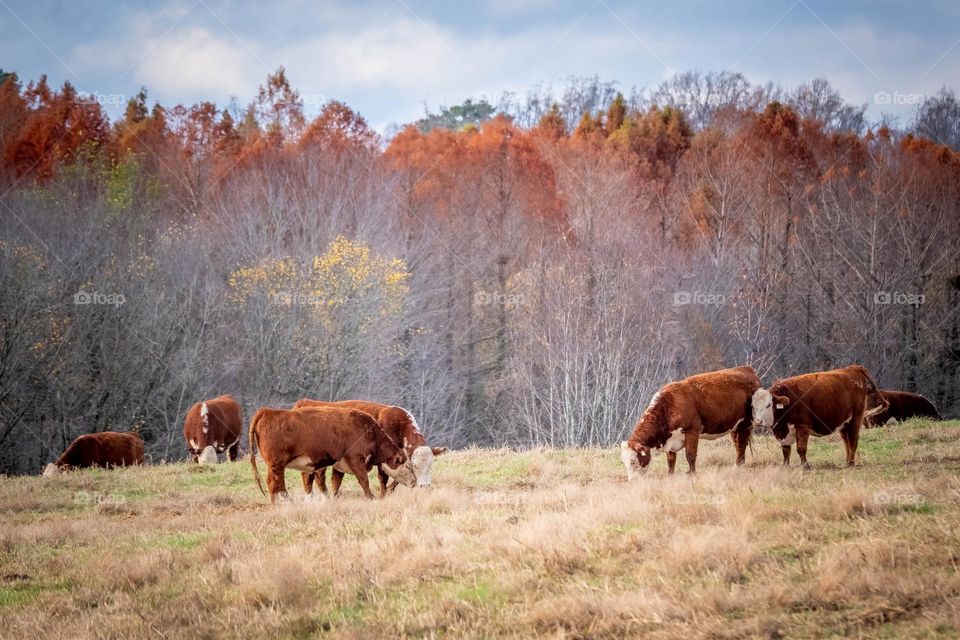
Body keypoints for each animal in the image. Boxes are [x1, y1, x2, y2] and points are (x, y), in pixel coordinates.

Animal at [248, 406, 416, 503]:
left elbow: (336, 481)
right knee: (274, 483)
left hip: (274, 465)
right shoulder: (356, 459)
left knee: (276, 483)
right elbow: (364, 481)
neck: (369, 431)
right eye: (408, 466)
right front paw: (370, 498)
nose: (414, 482)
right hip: (276, 464)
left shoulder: (340, 463)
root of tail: (267, 411)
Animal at [292, 399, 446, 494]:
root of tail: (303, 403)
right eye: (415, 465)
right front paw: (383, 495)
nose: (425, 486)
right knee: (313, 477)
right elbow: (383, 480)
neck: (398, 426)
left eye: (431, 464)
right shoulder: (384, 460)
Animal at [620, 365, 774, 478]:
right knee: (738, 444)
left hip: (746, 423)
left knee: (741, 445)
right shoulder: (670, 438)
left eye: (633, 461)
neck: (669, 404)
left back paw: (737, 466)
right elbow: (671, 460)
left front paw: (692, 474)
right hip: (734, 426)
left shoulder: (692, 431)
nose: (632, 480)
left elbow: (690, 455)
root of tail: (746, 369)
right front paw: (670, 475)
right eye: (624, 461)